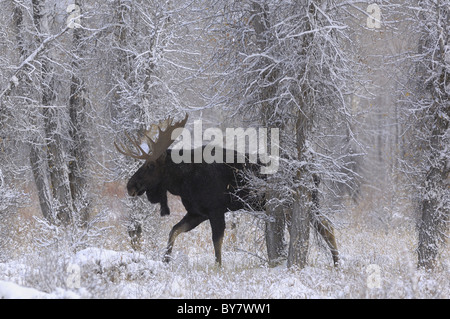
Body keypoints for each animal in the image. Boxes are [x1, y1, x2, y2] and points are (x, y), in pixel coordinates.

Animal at [116, 114, 338, 264]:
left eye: (150, 165)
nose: (130, 185)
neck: (183, 182)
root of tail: (316, 175)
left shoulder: (216, 210)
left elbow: (217, 244)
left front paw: (218, 269)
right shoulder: (197, 213)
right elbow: (174, 231)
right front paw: (165, 260)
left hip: (295, 203)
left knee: (324, 227)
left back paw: (336, 263)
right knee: (325, 226)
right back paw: (336, 263)